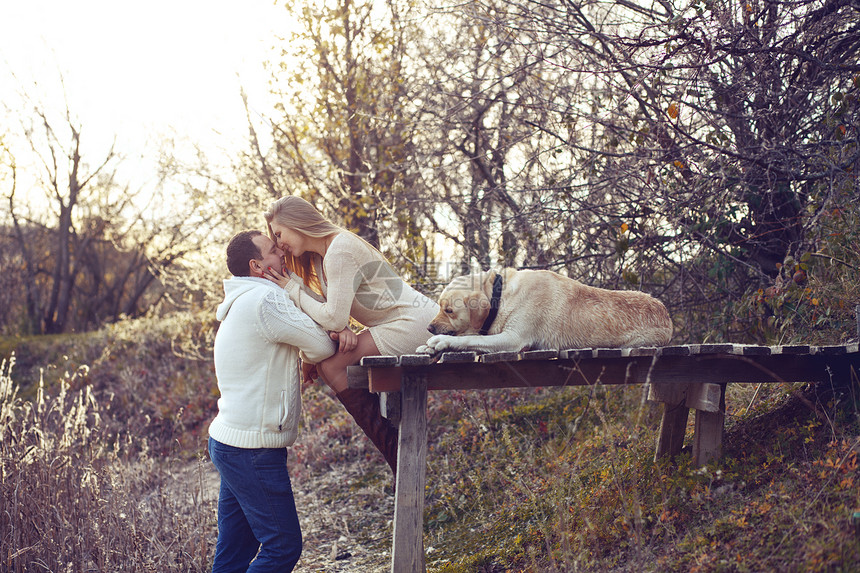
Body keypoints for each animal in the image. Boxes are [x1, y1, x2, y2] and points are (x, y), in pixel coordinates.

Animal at [416, 268, 672, 354]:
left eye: (449, 310)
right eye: (440, 307)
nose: (429, 327)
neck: (502, 294)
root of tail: (666, 313)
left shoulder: (513, 339)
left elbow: (469, 339)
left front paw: (440, 342)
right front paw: (427, 345)